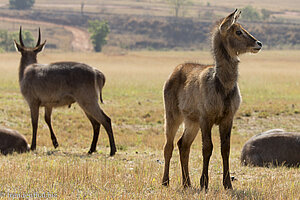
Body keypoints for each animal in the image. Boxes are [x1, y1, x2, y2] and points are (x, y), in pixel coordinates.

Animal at [14, 27, 116, 155]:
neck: (25, 72)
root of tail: (98, 73)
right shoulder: (48, 104)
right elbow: (47, 120)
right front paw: (55, 143)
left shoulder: (33, 102)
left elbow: (35, 123)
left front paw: (33, 146)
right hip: (85, 102)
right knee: (96, 123)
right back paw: (91, 149)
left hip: (88, 100)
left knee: (106, 120)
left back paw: (112, 151)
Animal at [162, 9, 262, 190]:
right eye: (238, 31)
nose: (259, 43)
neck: (223, 84)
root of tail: (176, 69)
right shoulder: (206, 118)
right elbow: (207, 148)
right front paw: (204, 183)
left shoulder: (227, 118)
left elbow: (225, 149)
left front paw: (227, 183)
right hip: (173, 115)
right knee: (169, 145)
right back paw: (166, 181)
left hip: (191, 122)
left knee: (183, 144)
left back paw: (187, 183)